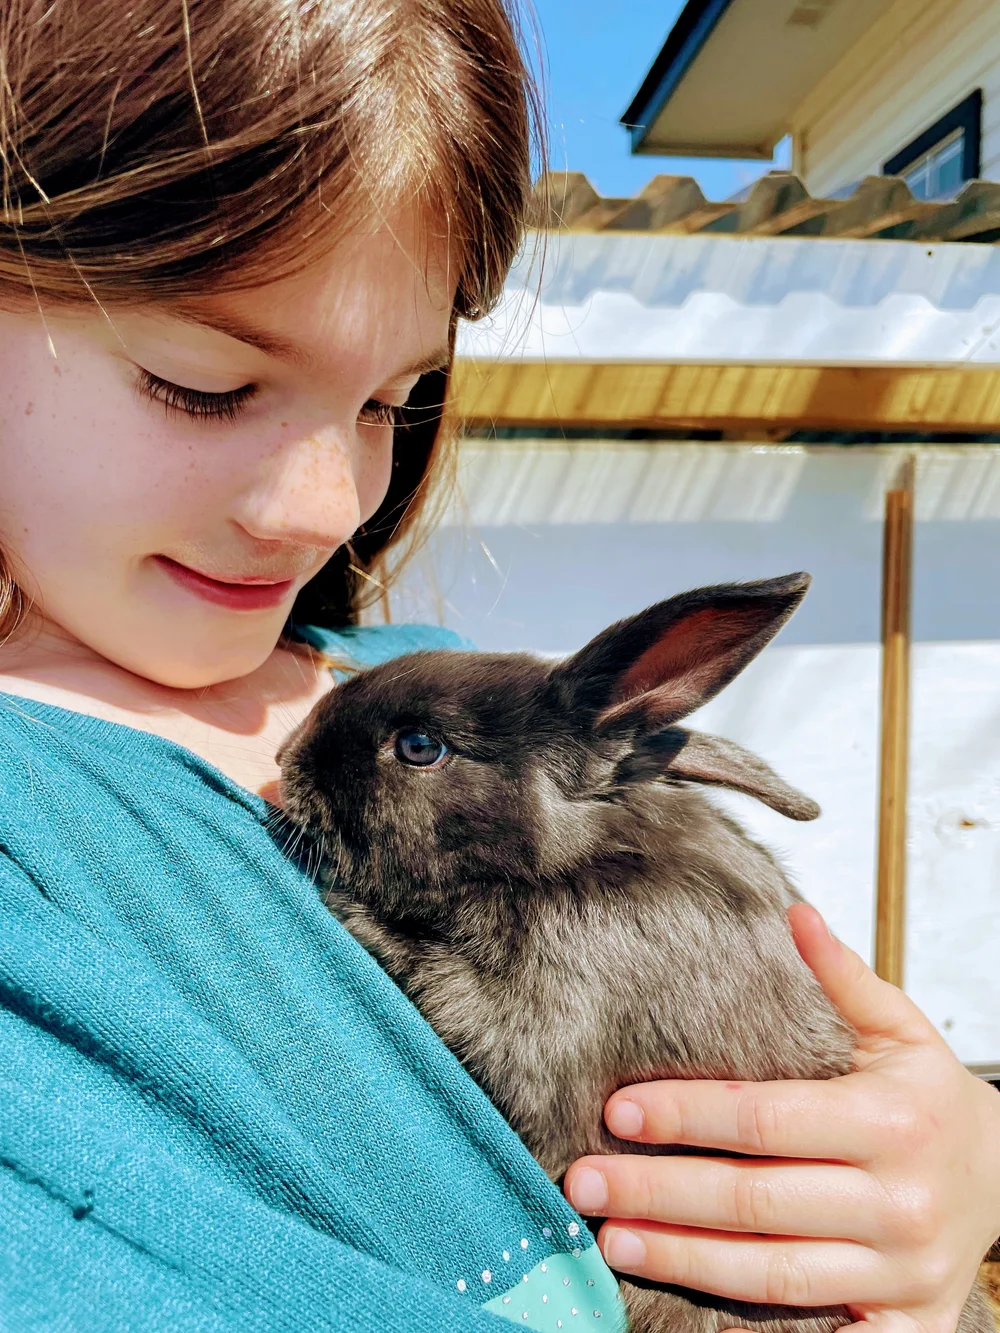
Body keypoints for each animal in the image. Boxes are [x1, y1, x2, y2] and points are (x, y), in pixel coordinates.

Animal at [278, 573, 994, 1333]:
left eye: (419, 745)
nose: (285, 761)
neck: (573, 858)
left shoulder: (537, 1026)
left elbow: (445, 984)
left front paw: (346, 906)